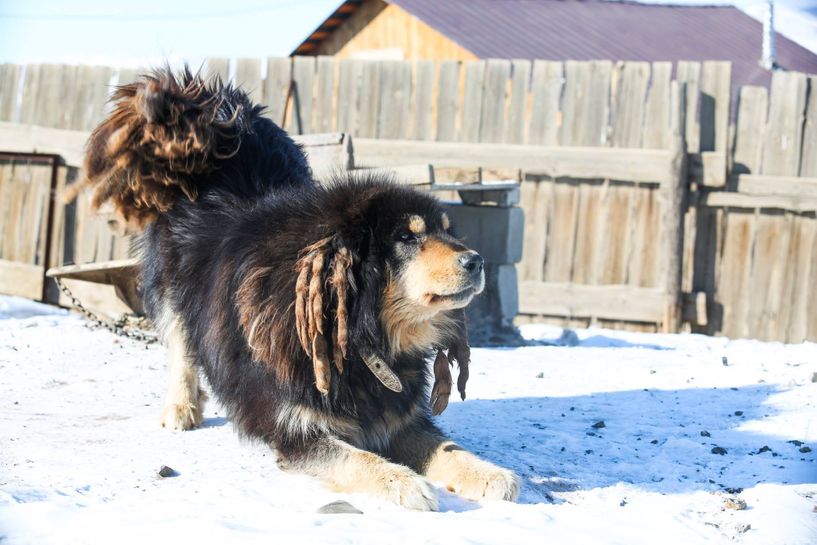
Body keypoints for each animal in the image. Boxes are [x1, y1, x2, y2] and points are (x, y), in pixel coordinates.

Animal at [78, 68, 524, 510]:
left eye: (447, 232)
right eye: (406, 237)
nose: (477, 260)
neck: (364, 338)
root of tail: (213, 112)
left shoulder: (400, 416)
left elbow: (448, 448)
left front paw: (489, 473)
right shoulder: (296, 430)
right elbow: (356, 459)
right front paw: (402, 482)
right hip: (172, 285)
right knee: (181, 344)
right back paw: (181, 406)